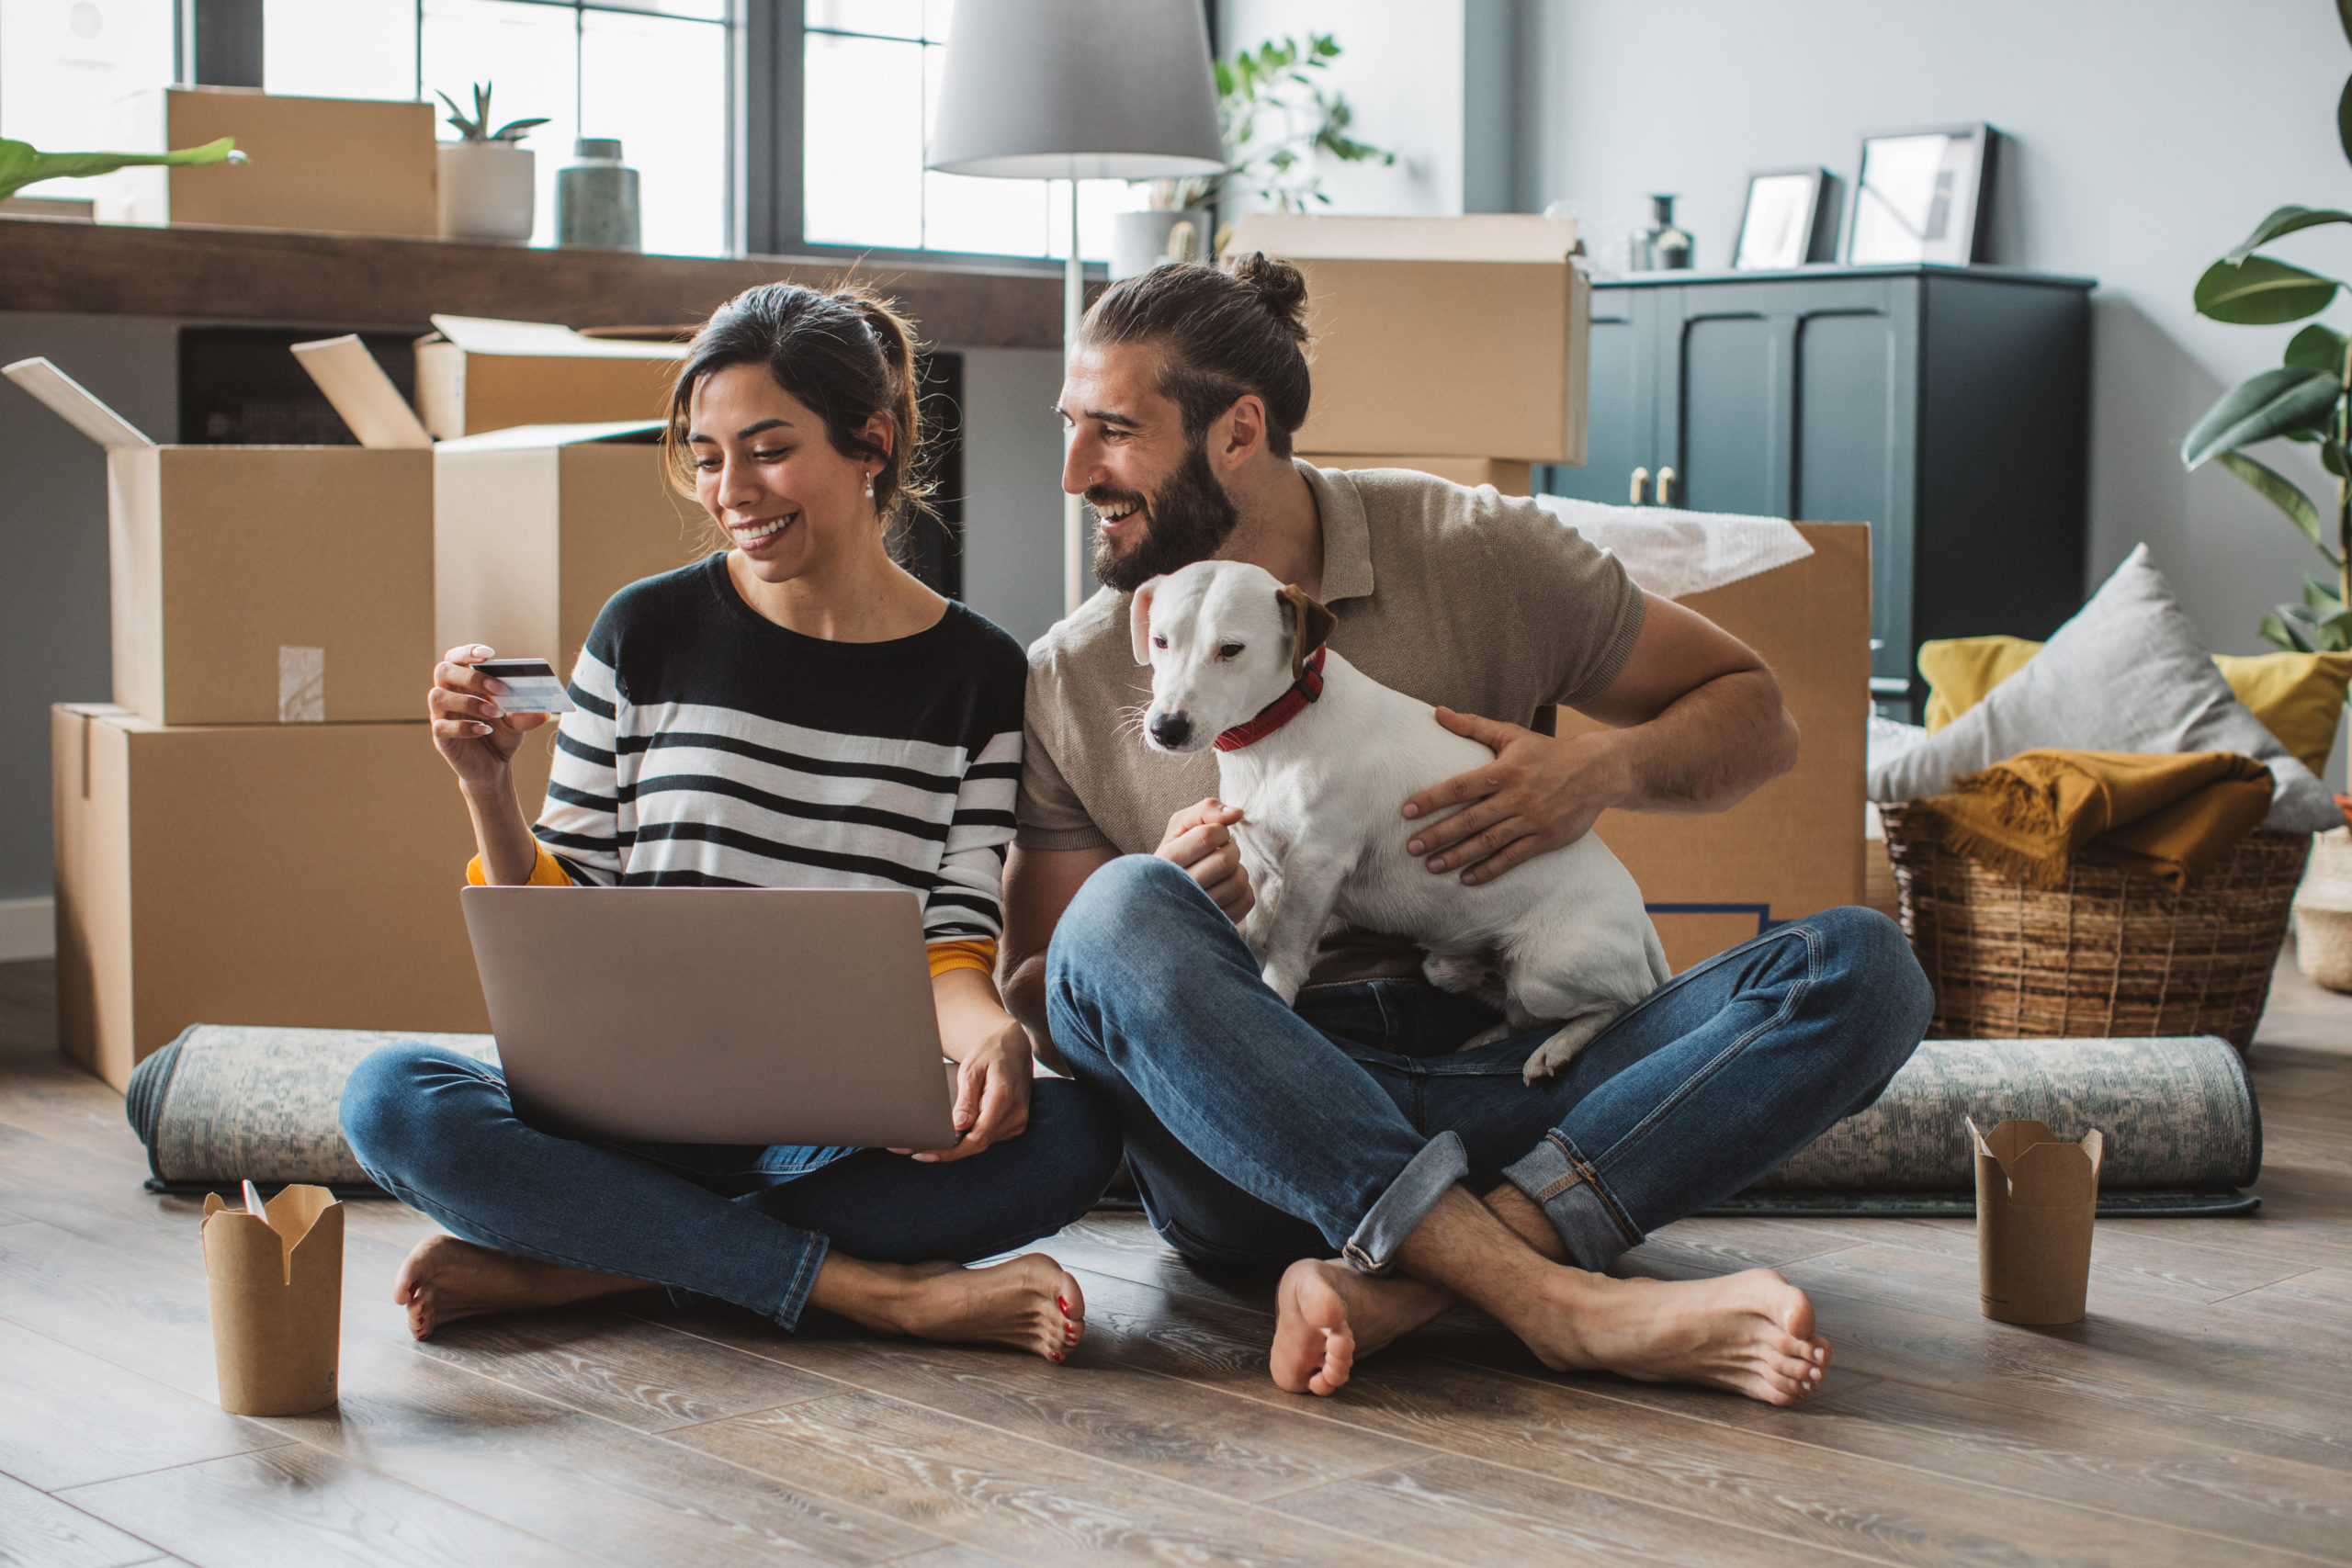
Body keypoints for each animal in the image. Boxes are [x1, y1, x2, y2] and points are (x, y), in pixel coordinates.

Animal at [1128, 557, 1665, 1086]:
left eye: (1231, 649)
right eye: (1160, 641)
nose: (1165, 728)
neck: (1278, 729)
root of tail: (1640, 921)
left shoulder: (1316, 866)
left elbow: (1285, 949)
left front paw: (1275, 998)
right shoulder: (1264, 865)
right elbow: (1256, 930)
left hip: (1543, 972)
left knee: (1623, 1002)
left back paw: (1557, 1048)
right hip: (1453, 969)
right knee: (1519, 1014)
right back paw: (1488, 1040)